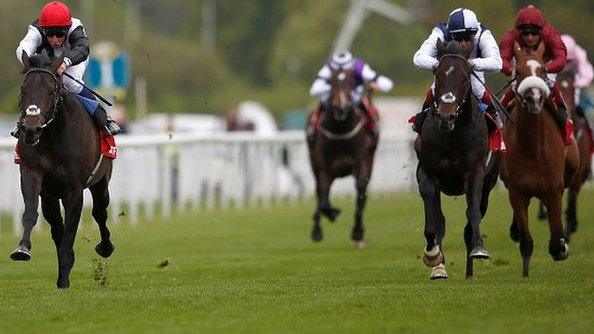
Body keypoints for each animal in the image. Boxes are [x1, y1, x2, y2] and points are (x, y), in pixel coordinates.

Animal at [9, 51, 114, 288]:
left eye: (51, 91)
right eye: (24, 89)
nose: (31, 129)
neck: (54, 137)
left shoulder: (74, 189)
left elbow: (71, 227)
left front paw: (65, 278)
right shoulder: (31, 175)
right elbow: (31, 212)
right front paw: (22, 248)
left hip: (101, 181)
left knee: (99, 212)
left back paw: (105, 247)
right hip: (50, 195)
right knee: (56, 225)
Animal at [308, 68, 376, 247]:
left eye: (351, 82)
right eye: (330, 83)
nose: (341, 108)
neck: (341, 129)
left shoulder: (362, 159)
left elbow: (360, 189)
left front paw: (358, 231)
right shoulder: (324, 169)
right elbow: (323, 198)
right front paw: (332, 214)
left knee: (362, 191)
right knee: (319, 193)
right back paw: (316, 230)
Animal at [412, 39, 500, 280]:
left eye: (465, 77)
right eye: (438, 76)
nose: (446, 116)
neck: (452, 135)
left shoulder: (475, 172)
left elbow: (473, 213)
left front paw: (479, 249)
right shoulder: (427, 172)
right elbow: (434, 222)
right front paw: (433, 257)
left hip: (490, 182)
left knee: (473, 217)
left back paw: (470, 269)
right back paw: (439, 267)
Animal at [500, 41, 580, 276]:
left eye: (544, 70)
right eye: (518, 71)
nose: (534, 98)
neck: (533, 149)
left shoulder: (554, 190)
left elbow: (555, 242)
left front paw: (563, 246)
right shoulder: (517, 191)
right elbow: (526, 241)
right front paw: (526, 275)